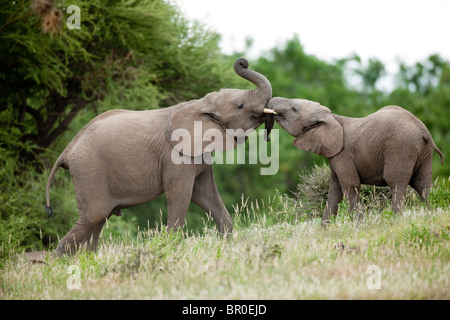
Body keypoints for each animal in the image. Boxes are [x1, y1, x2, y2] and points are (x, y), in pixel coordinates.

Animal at [45, 59, 274, 255]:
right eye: (240, 106)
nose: (242, 62)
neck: (199, 104)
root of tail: (67, 150)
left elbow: (204, 193)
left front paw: (226, 243)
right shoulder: (175, 155)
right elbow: (181, 193)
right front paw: (171, 247)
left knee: (97, 221)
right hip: (89, 169)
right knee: (94, 216)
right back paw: (56, 262)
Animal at [268, 97, 444, 225]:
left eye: (294, 109)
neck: (332, 117)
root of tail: (423, 131)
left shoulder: (342, 154)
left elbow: (350, 184)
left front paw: (357, 225)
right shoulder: (336, 156)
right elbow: (335, 190)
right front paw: (324, 230)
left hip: (401, 148)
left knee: (395, 182)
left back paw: (396, 220)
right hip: (423, 152)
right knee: (422, 184)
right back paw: (432, 212)